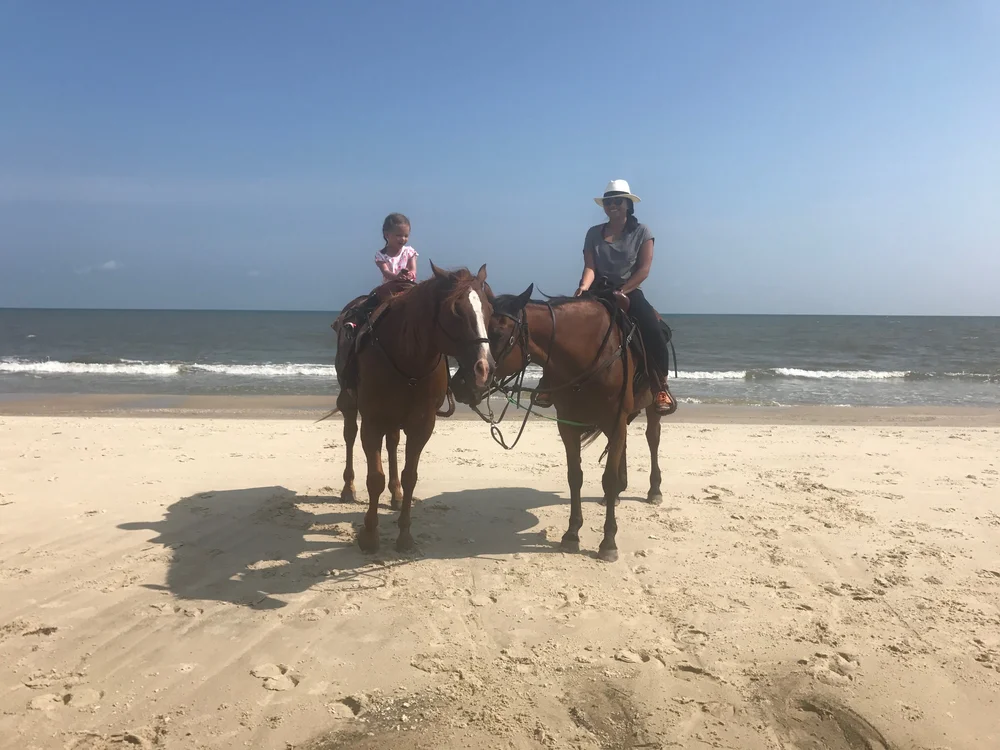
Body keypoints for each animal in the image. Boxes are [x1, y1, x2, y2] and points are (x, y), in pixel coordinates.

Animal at [329, 263, 495, 553]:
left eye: (489, 309)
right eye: (455, 310)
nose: (483, 369)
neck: (408, 359)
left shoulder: (422, 424)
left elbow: (410, 477)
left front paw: (404, 535)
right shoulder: (372, 421)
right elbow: (374, 478)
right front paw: (369, 536)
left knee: (393, 443)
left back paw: (394, 494)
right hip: (350, 402)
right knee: (349, 434)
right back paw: (348, 488)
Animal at [451, 284, 672, 562]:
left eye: (498, 333)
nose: (459, 384)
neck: (590, 355)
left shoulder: (616, 418)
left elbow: (608, 479)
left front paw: (608, 542)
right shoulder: (568, 425)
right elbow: (574, 476)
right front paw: (571, 534)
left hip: (649, 409)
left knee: (653, 439)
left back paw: (654, 491)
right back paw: (618, 494)